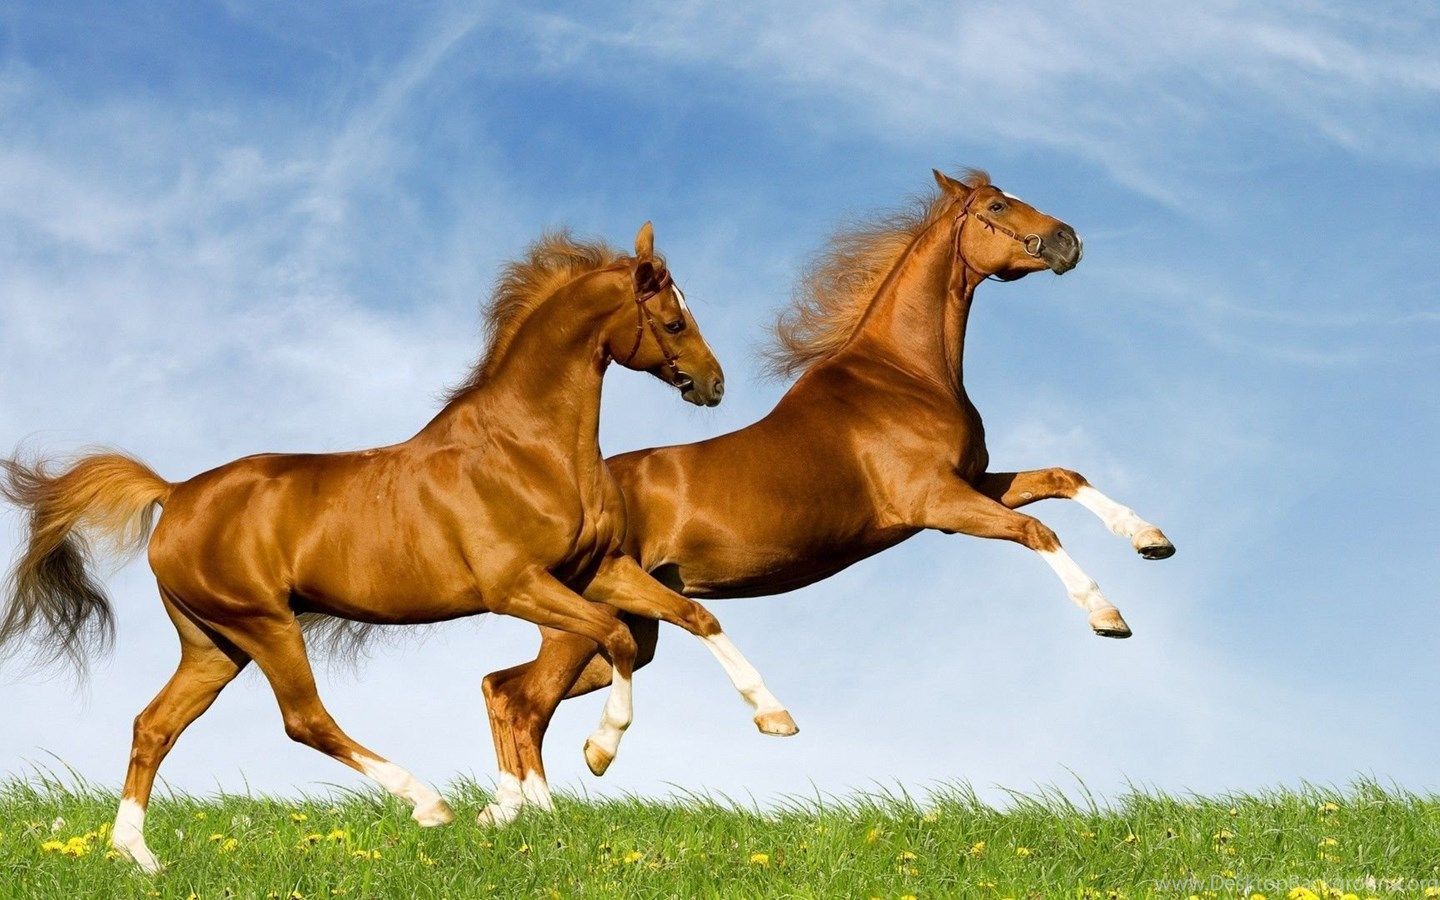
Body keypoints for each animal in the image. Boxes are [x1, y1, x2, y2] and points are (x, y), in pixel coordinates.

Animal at [0, 224, 797, 873]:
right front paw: (598, 753)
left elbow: (696, 617)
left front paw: (774, 718)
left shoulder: (597, 570)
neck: (528, 448)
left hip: (213, 643)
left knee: (155, 725)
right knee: (304, 720)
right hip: (264, 625)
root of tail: (175, 493)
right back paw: (428, 802)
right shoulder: (518, 585)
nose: (714, 384)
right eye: (672, 318)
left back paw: (138, 856)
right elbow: (616, 641)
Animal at [477, 169, 1176, 813]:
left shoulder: (975, 483)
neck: (904, 375)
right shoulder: (939, 503)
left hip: (626, 628)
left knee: (503, 687)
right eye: (998, 206)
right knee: (523, 701)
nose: (1068, 240)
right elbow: (1038, 530)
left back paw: (514, 807)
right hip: (585, 625)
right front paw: (1107, 615)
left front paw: (1151, 539)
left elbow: (1063, 478)